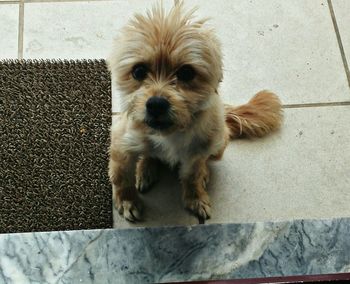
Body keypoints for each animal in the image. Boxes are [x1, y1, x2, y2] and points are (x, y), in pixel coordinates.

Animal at [106, 0, 282, 222]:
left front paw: (195, 198)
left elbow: (192, 177)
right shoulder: (120, 146)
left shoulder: (196, 153)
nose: (156, 104)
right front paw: (127, 200)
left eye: (186, 73)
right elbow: (121, 178)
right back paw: (145, 168)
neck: (169, 134)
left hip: (218, 143)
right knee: (148, 154)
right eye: (138, 71)